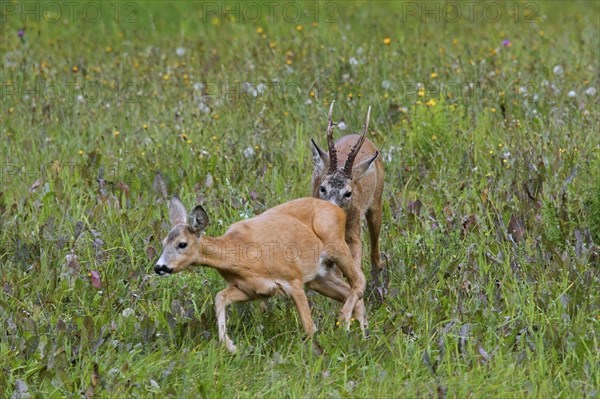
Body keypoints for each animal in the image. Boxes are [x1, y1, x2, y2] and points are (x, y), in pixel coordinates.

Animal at [155, 197, 368, 354]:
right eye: (163, 242)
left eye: (182, 244)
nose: (160, 267)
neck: (240, 253)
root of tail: (336, 208)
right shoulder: (251, 289)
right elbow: (219, 297)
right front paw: (231, 346)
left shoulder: (293, 279)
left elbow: (309, 326)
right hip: (319, 277)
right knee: (350, 291)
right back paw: (361, 333)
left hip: (336, 244)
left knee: (359, 280)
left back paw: (345, 321)